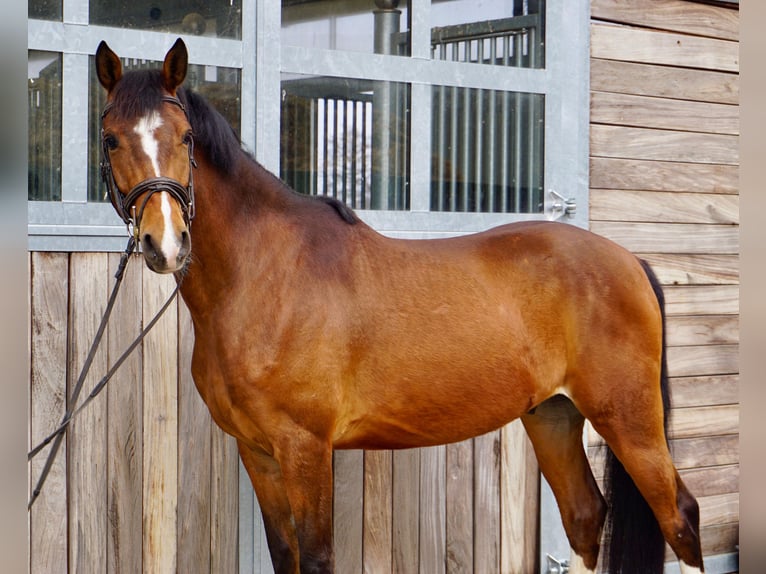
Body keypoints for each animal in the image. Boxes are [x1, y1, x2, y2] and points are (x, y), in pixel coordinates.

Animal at [95, 38, 704, 574]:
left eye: (186, 137)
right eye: (110, 140)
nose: (165, 244)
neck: (264, 274)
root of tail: (629, 261)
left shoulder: (305, 448)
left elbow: (317, 556)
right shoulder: (258, 452)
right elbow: (285, 554)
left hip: (628, 419)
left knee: (680, 516)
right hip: (553, 414)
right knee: (584, 515)